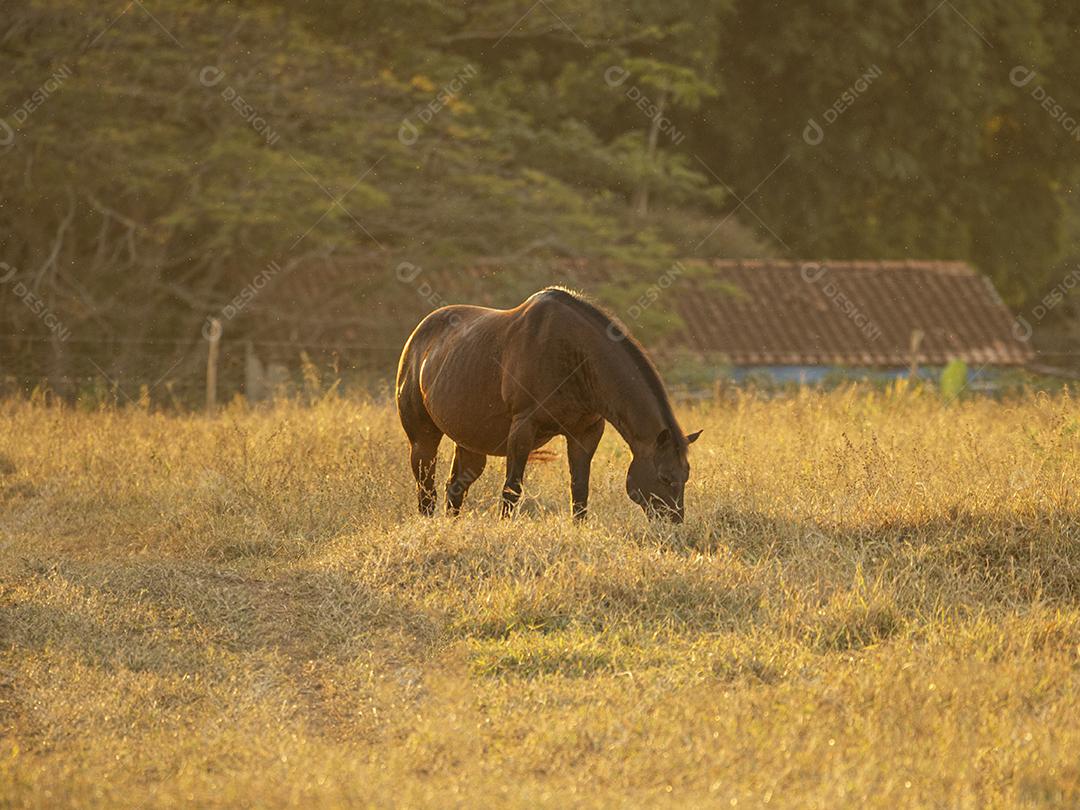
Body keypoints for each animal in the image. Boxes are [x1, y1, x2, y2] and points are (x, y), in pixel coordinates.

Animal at [395, 289, 699, 522]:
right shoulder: (523, 428)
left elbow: (579, 490)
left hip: (471, 443)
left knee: (455, 488)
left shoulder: (585, 433)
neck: (574, 357)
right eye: (664, 477)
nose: (674, 523)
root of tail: (416, 338)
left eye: (685, 475)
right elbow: (512, 488)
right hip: (423, 440)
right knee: (426, 489)